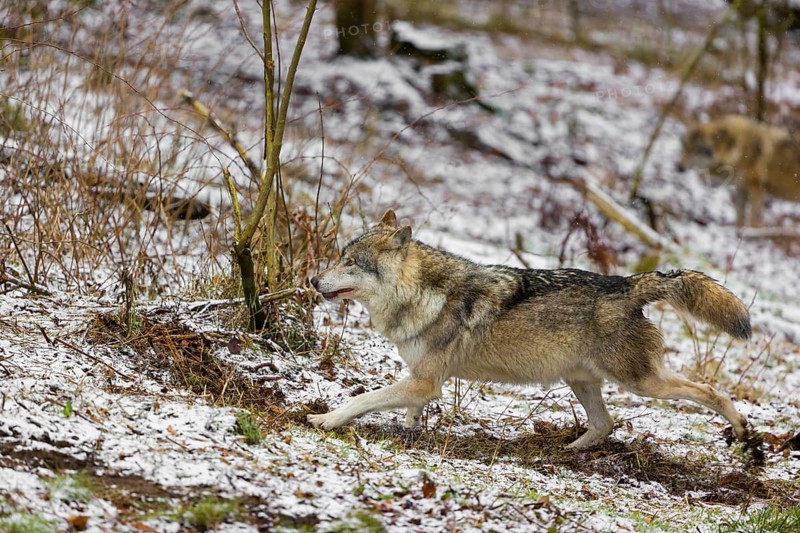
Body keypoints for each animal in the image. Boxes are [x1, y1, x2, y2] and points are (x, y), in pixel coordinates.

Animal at [308, 210, 753, 449]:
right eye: (339, 257)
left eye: (350, 262)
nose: (313, 280)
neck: (423, 294)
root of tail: (628, 283)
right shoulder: (422, 382)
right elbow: (407, 411)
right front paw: (408, 432)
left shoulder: (425, 381)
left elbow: (363, 399)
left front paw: (326, 420)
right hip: (582, 381)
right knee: (604, 425)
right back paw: (569, 452)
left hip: (640, 383)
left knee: (712, 392)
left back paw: (741, 429)